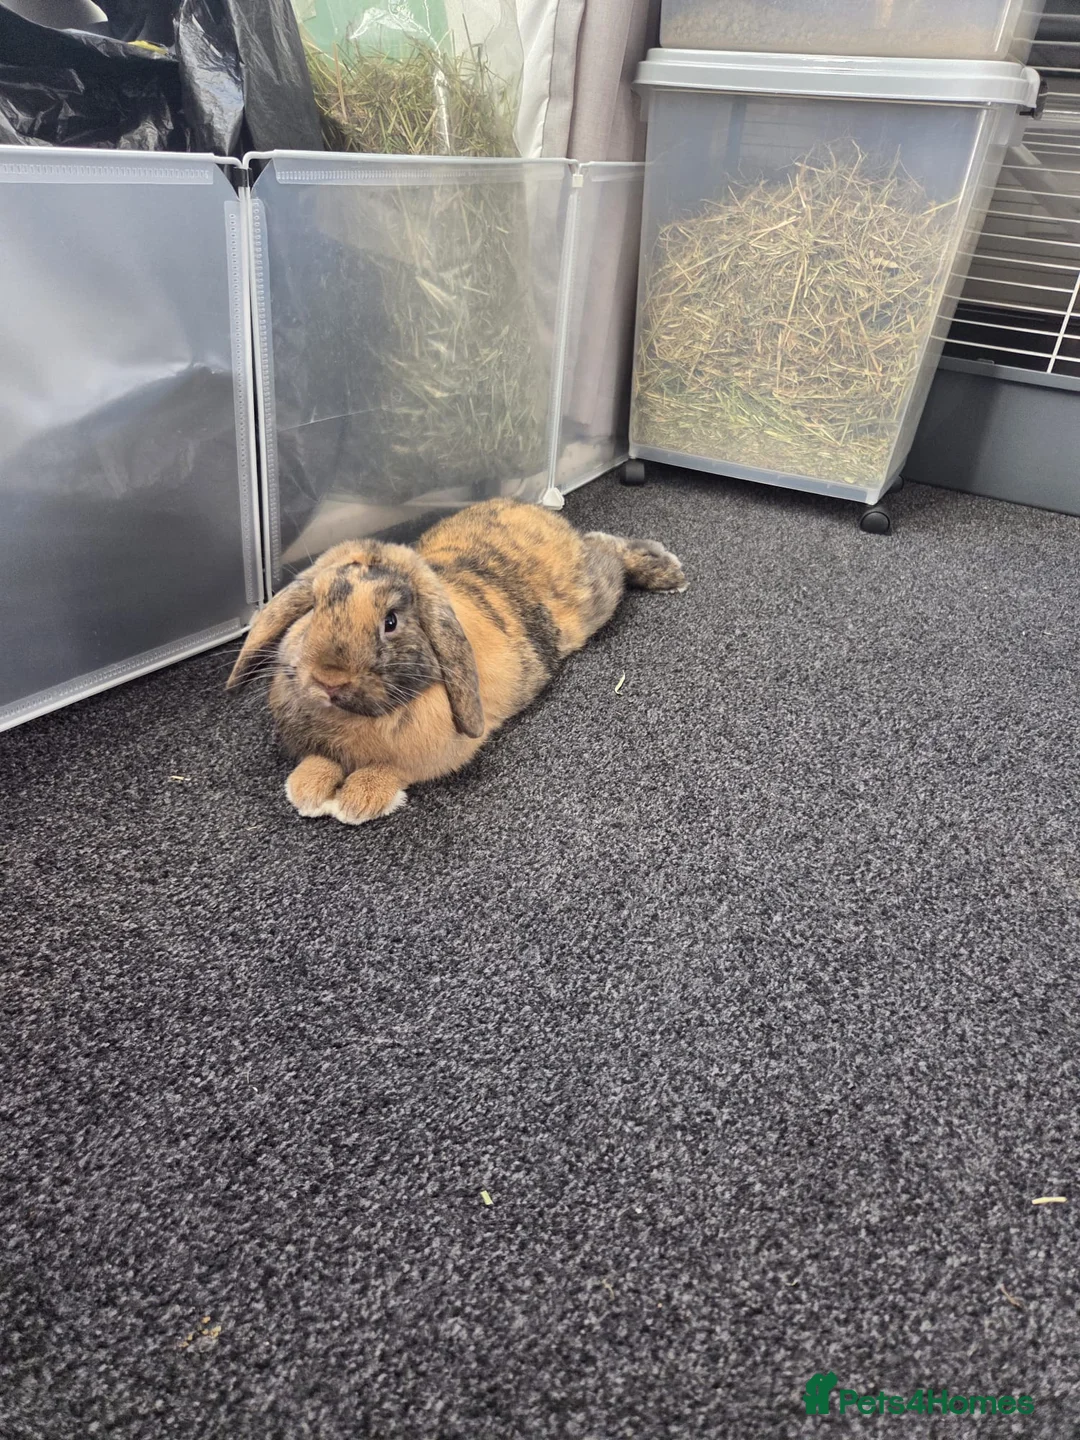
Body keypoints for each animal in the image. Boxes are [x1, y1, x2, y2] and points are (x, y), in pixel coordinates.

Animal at [227, 498, 687, 825]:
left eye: (391, 622)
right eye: (315, 607)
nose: (328, 679)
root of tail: (535, 510)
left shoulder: (430, 755)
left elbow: (392, 770)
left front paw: (359, 800)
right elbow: (316, 762)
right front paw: (306, 790)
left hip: (595, 596)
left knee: (609, 549)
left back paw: (670, 574)